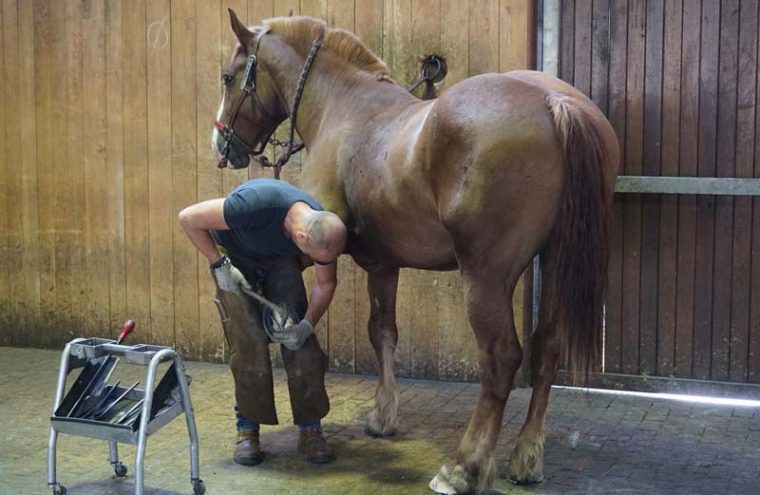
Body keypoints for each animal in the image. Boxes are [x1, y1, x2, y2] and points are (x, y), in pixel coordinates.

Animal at [211, 12, 620, 495]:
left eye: (228, 77)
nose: (221, 145)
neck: (344, 111)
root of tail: (554, 101)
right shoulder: (383, 264)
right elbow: (382, 331)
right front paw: (383, 416)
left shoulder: (308, 243)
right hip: (555, 263)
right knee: (548, 349)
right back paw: (525, 459)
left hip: (486, 277)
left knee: (501, 360)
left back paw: (462, 468)